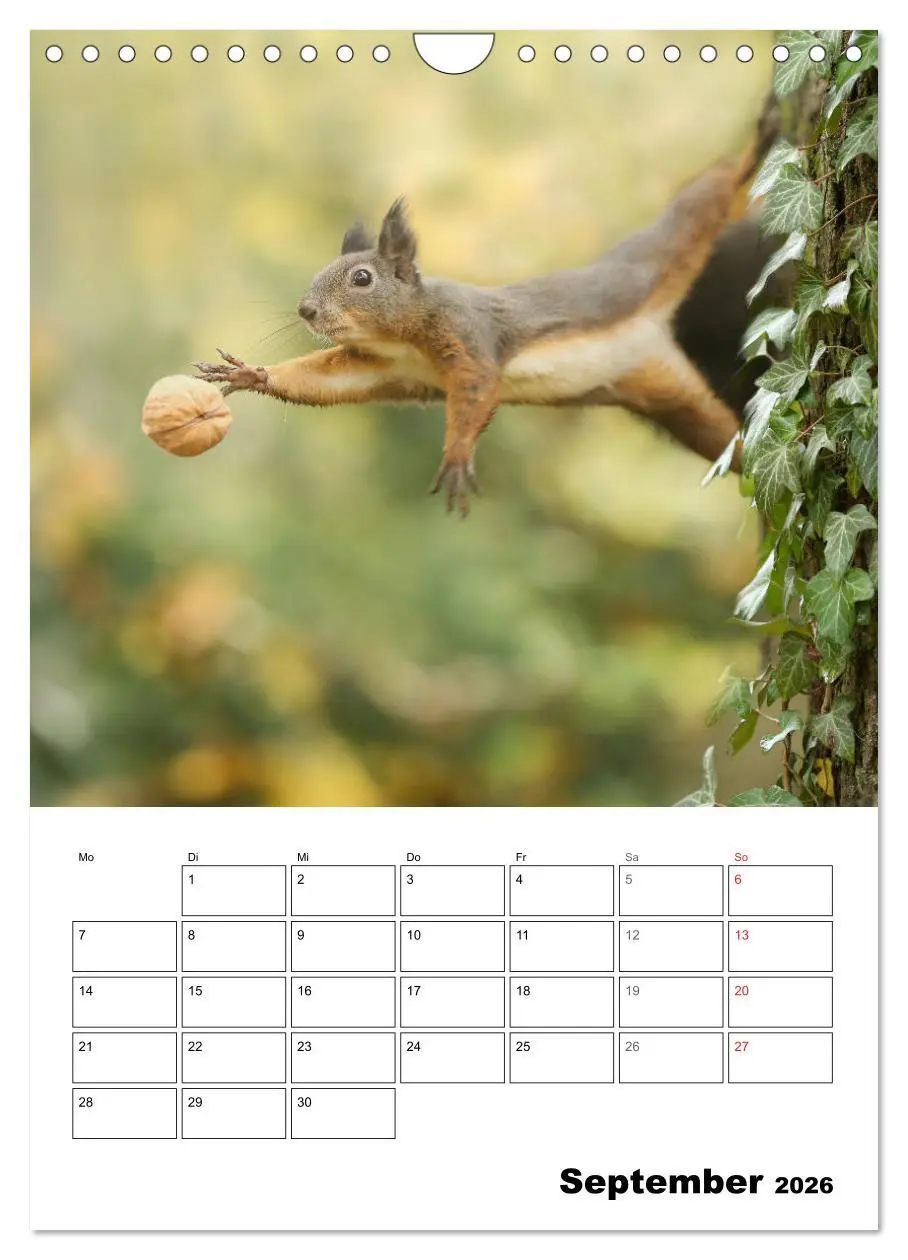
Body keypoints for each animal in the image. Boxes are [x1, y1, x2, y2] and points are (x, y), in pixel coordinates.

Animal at [196, 97, 778, 517]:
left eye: (362, 278)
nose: (305, 311)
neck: (402, 336)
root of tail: (655, 332)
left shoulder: (467, 334)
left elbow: (477, 386)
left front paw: (456, 456)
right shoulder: (376, 366)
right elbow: (325, 380)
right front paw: (251, 373)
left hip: (664, 249)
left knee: (711, 195)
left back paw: (762, 138)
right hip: (675, 405)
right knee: (727, 443)